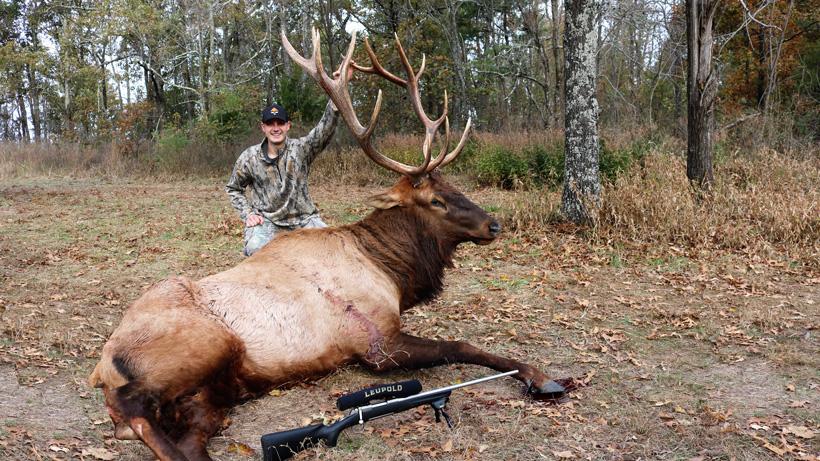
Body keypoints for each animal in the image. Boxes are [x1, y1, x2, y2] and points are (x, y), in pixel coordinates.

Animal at [88, 28, 566, 461]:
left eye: (454, 185)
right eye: (436, 200)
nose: (494, 224)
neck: (392, 272)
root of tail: (101, 365)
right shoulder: (375, 344)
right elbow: (462, 347)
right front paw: (541, 377)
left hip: (215, 392)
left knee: (184, 438)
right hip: (204, 344)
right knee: (132, 407)